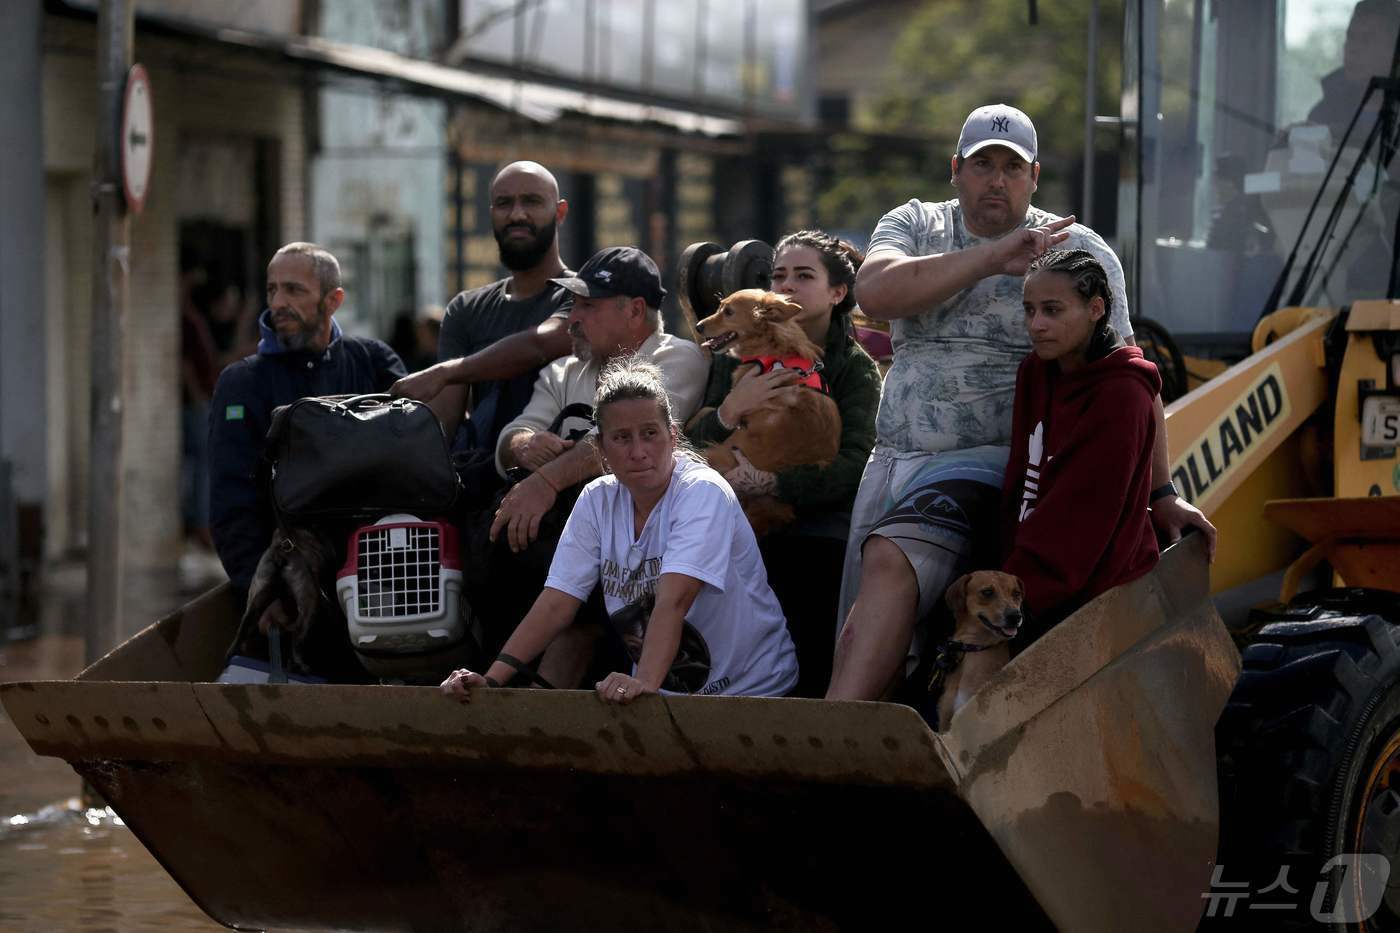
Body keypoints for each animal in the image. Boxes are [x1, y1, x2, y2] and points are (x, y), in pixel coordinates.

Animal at [691, 287, 840, 535]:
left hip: (719, 451)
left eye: (728, 312)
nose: (698, 326)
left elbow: (706, 410)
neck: (772, 345)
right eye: (719, 306)